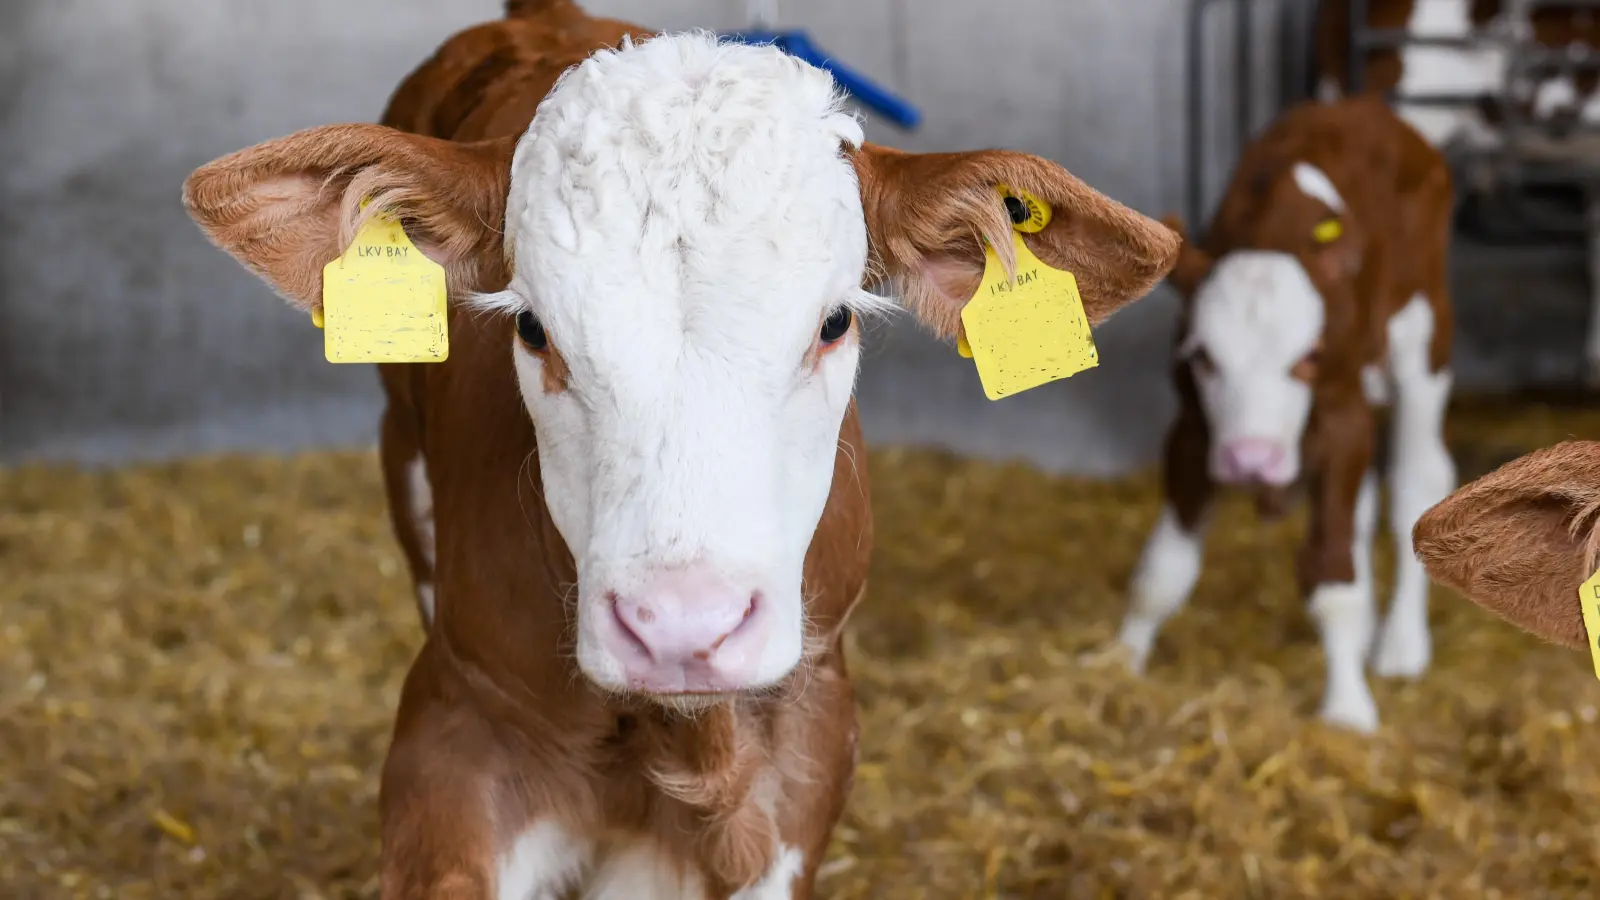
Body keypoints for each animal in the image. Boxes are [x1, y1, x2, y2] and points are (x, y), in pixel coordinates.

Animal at [1113, 94, 1465, 733]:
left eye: (1309, 356)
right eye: (1203, 356)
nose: (1250, 459)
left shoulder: (1343, 413)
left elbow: (1331, 577)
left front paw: (1347, 707)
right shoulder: (1192, 428)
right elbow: (1162, 571)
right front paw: (1120, 662)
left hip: (1425, 337)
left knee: (1416, 482)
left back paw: (1400, 645)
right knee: (1365, 504)